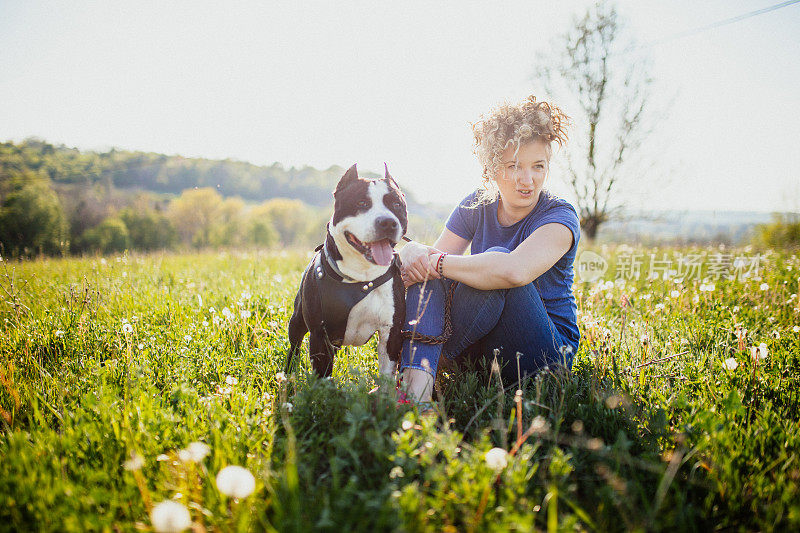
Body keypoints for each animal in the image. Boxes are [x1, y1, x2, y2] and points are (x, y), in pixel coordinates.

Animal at [286, 163, 406, 378]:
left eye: (396, 205)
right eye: (362, 203)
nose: (388, 222)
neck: (362, 276)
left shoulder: (391, 334)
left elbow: (387, 377)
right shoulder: (319, 334)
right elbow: (322, 375)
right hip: (298, 320)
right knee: (295, 345)